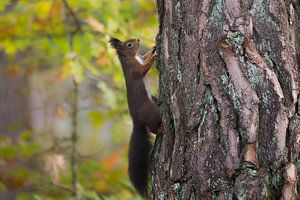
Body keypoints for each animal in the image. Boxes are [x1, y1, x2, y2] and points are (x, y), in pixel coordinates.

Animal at [109, 37, 163, 197]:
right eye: (129, 45)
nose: (138, 39)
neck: (132, 57)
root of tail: (136, 121)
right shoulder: (134, 70)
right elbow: (143, 69)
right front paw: (153, 57)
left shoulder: (140, 58)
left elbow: (144, 56)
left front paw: (153, 48)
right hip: (152, 110)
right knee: (152, 128)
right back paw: (161, 129)